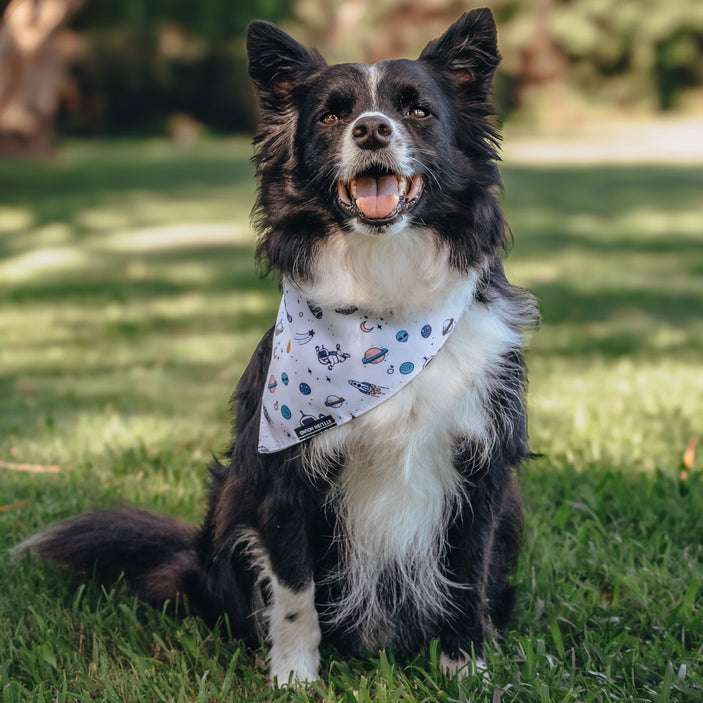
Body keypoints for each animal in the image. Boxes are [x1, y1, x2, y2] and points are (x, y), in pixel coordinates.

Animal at [16, 8, 540, 684]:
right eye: (331, 117)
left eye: (418, 110)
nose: (372, 129)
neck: (383, 303)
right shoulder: (281, 478)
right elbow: (295, 592)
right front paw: (295, 678)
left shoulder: (479, 466)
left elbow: (465, 578)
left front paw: (466, 667)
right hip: (229, 512)